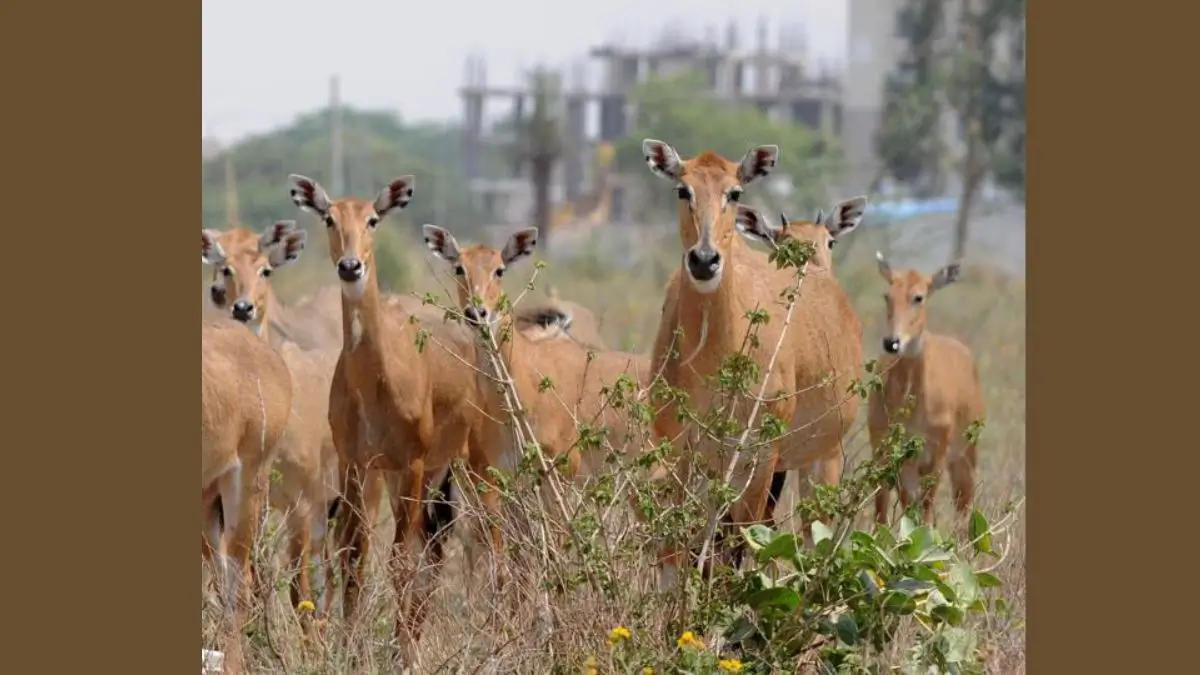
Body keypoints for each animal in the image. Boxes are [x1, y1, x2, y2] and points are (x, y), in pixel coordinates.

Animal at [288, 170, 480, 653]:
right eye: (329, 217)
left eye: (373, 219)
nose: (350, 266)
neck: (379, 381)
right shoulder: (357, 464)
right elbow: (352, 558)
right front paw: (349, 648)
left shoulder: (411, 463)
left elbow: (399, 562)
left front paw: (394, 651)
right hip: (406, 480)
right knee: (429, 550)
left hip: (455, 471)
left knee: (436, 552)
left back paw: (409, 643)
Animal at [643, 138, 868, 583]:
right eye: (682, 189)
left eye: (735, 192)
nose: (704, 260)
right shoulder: (679, 447)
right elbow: (679, 547)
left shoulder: (758, 455)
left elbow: (739, 543)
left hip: (820, 457)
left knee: (808, 534)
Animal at [868, 252, 988, 526]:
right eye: (887, 295)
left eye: (919, 296)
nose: (892, 342)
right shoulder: (886, 450)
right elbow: (891, 510)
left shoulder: (936, 453)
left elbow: (925, 508)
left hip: (965, 455)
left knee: (964, 508)